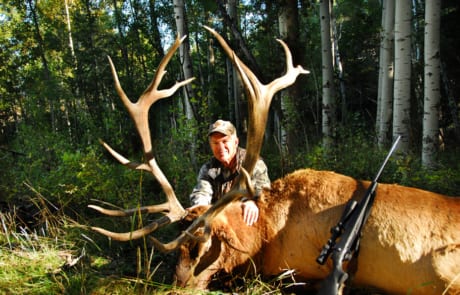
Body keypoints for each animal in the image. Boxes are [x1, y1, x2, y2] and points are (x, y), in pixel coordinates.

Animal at [88, 28, 458, 295]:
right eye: (176, 250)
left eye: (203, 246)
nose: (176, 287)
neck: (266, 233)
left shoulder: (296, 269)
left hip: (445, 268)